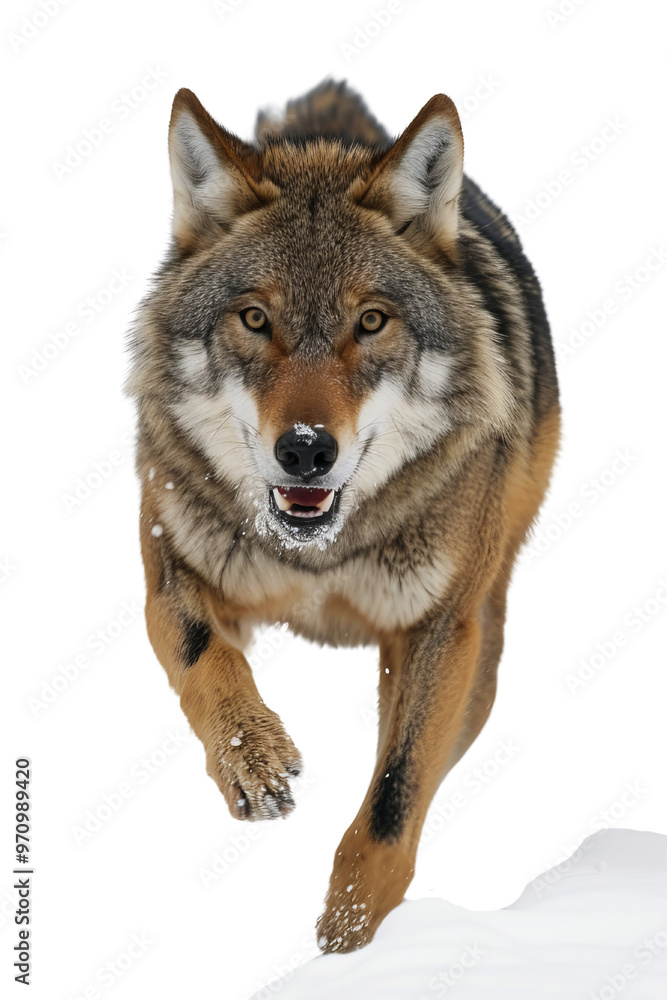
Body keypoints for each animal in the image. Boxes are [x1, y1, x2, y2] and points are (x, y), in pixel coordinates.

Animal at [125, 79, 560, 953]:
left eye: (371, 321)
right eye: (255, 318)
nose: (304, 451)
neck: (320, 556)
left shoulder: (441, 630)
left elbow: (394, 798)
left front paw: (347, 944)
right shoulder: (169, 568)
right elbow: (203, 659)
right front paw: (252, 759)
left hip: (479, 643)